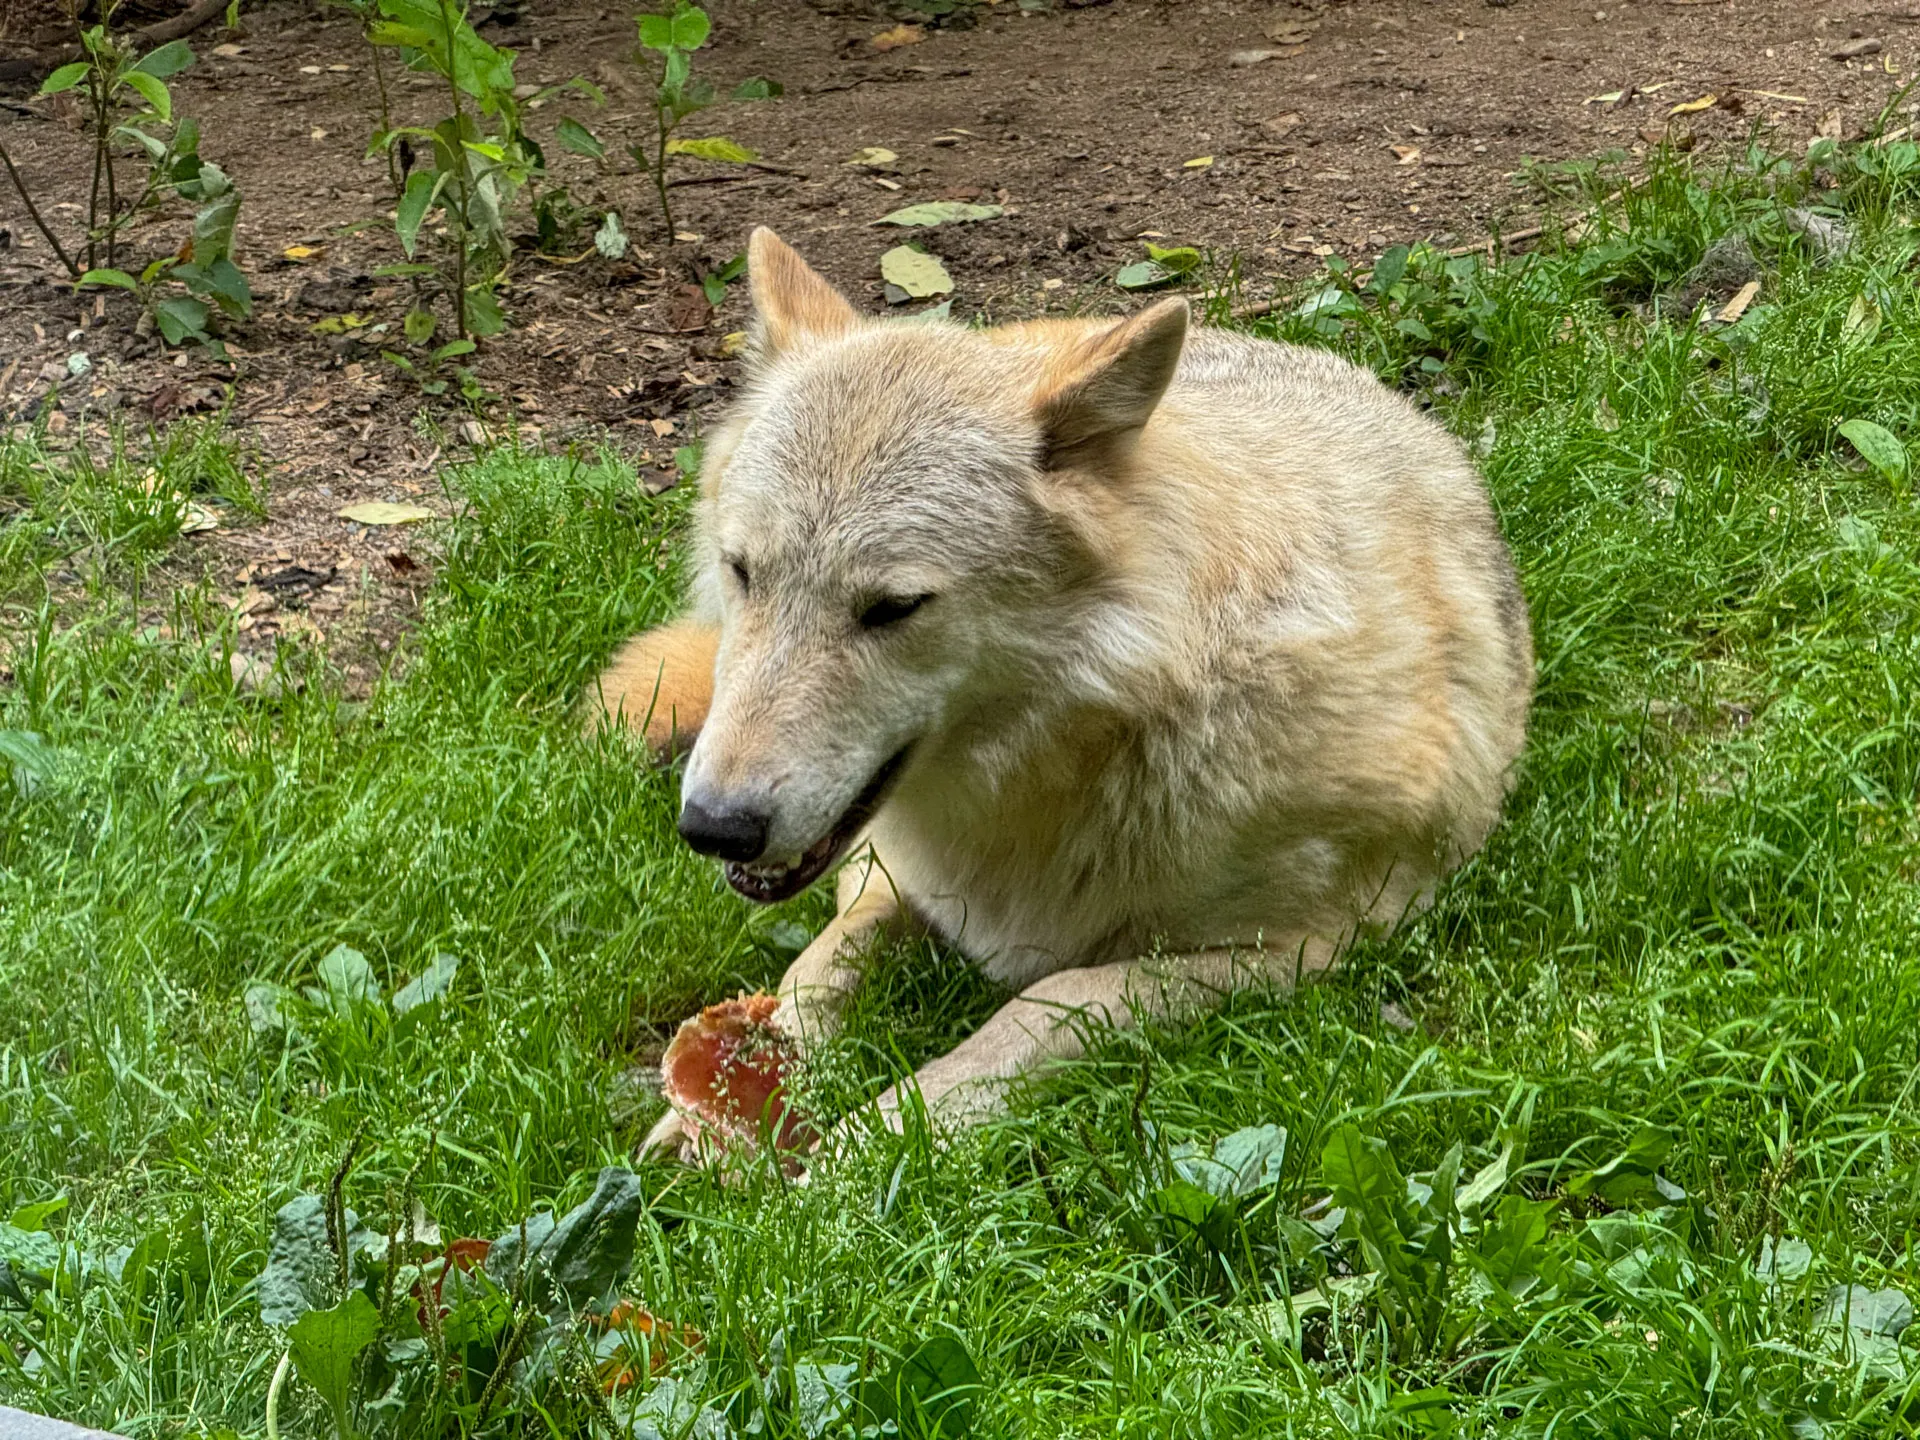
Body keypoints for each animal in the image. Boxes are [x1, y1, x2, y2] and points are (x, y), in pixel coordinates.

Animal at [592, 228, 1533, 1155]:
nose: (715, 828)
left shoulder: (1324, 944)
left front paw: (873, 1144)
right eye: (743, 571)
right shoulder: (890, 875)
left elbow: (1053, 1004)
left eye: (892, 608)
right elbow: (814, 965)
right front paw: (714, 1105)